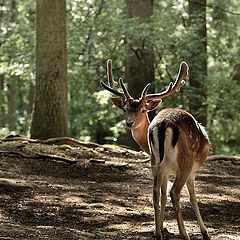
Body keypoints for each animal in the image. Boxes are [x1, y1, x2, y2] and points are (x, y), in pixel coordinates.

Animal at [100, 59, 211, 240]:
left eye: (142, 110)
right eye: (125, 109)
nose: (129, 123)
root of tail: (163, 124)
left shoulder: (163, 170)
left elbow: (162, 196)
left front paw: (161, 228)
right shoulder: (191, 171)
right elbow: (193, 197)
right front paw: (204, 232)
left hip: (155, 163)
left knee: (155, 193)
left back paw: (158, 234)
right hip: (184, 162)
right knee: (175, 193)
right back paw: (184, 234)